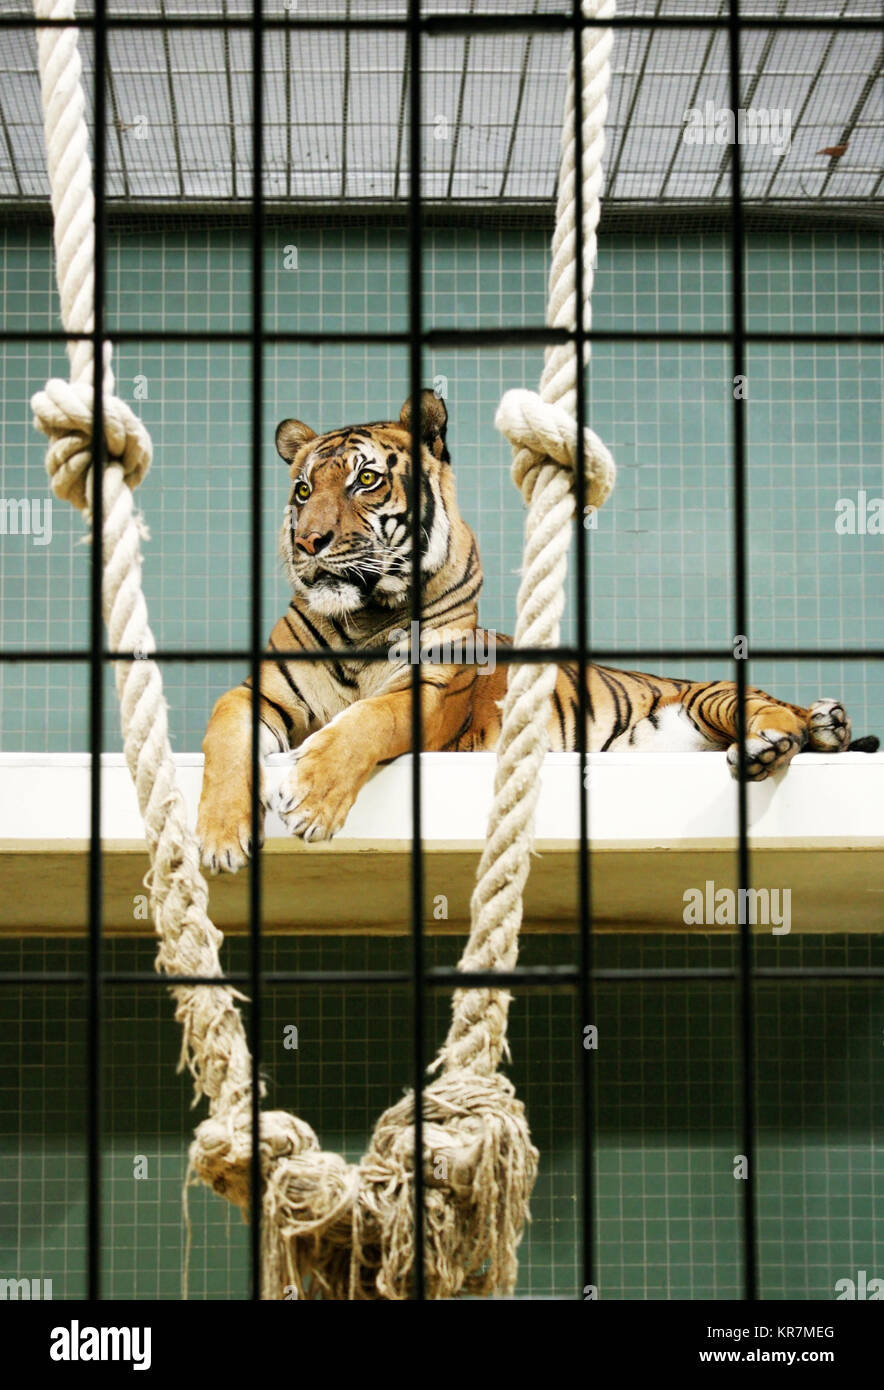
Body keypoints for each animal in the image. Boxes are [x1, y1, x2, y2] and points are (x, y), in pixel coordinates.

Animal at [196, 389, 878, 873]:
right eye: (302, 489)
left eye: (366, 479)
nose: (308, 542)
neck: (364, 616)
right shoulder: (258, 693)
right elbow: (225, 735)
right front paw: (219, 838)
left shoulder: (430, 691)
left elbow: (367, 721)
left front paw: (310, 798)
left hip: (711, 695)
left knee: (772, 711)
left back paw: (794, 734)